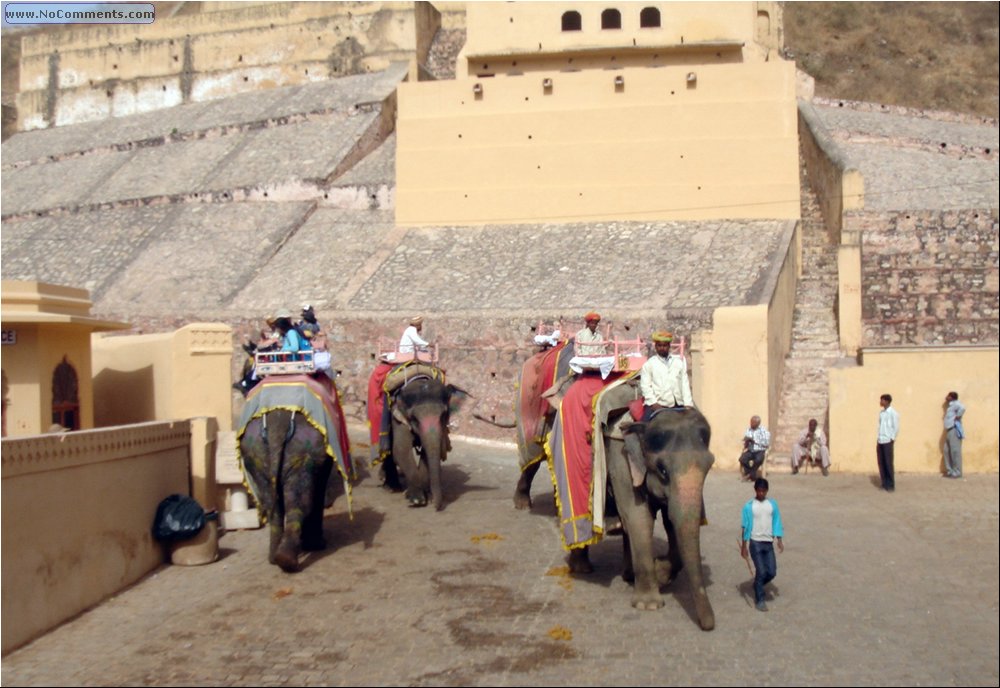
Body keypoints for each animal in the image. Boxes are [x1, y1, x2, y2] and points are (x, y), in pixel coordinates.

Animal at [382, 370, 468, 510]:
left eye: (443, 415)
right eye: (414, 419)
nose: (436, 506)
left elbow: (430, 451)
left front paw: (426, 493)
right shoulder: (398, 418)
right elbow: (401, 449)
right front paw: (417, 499)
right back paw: (391, 487)